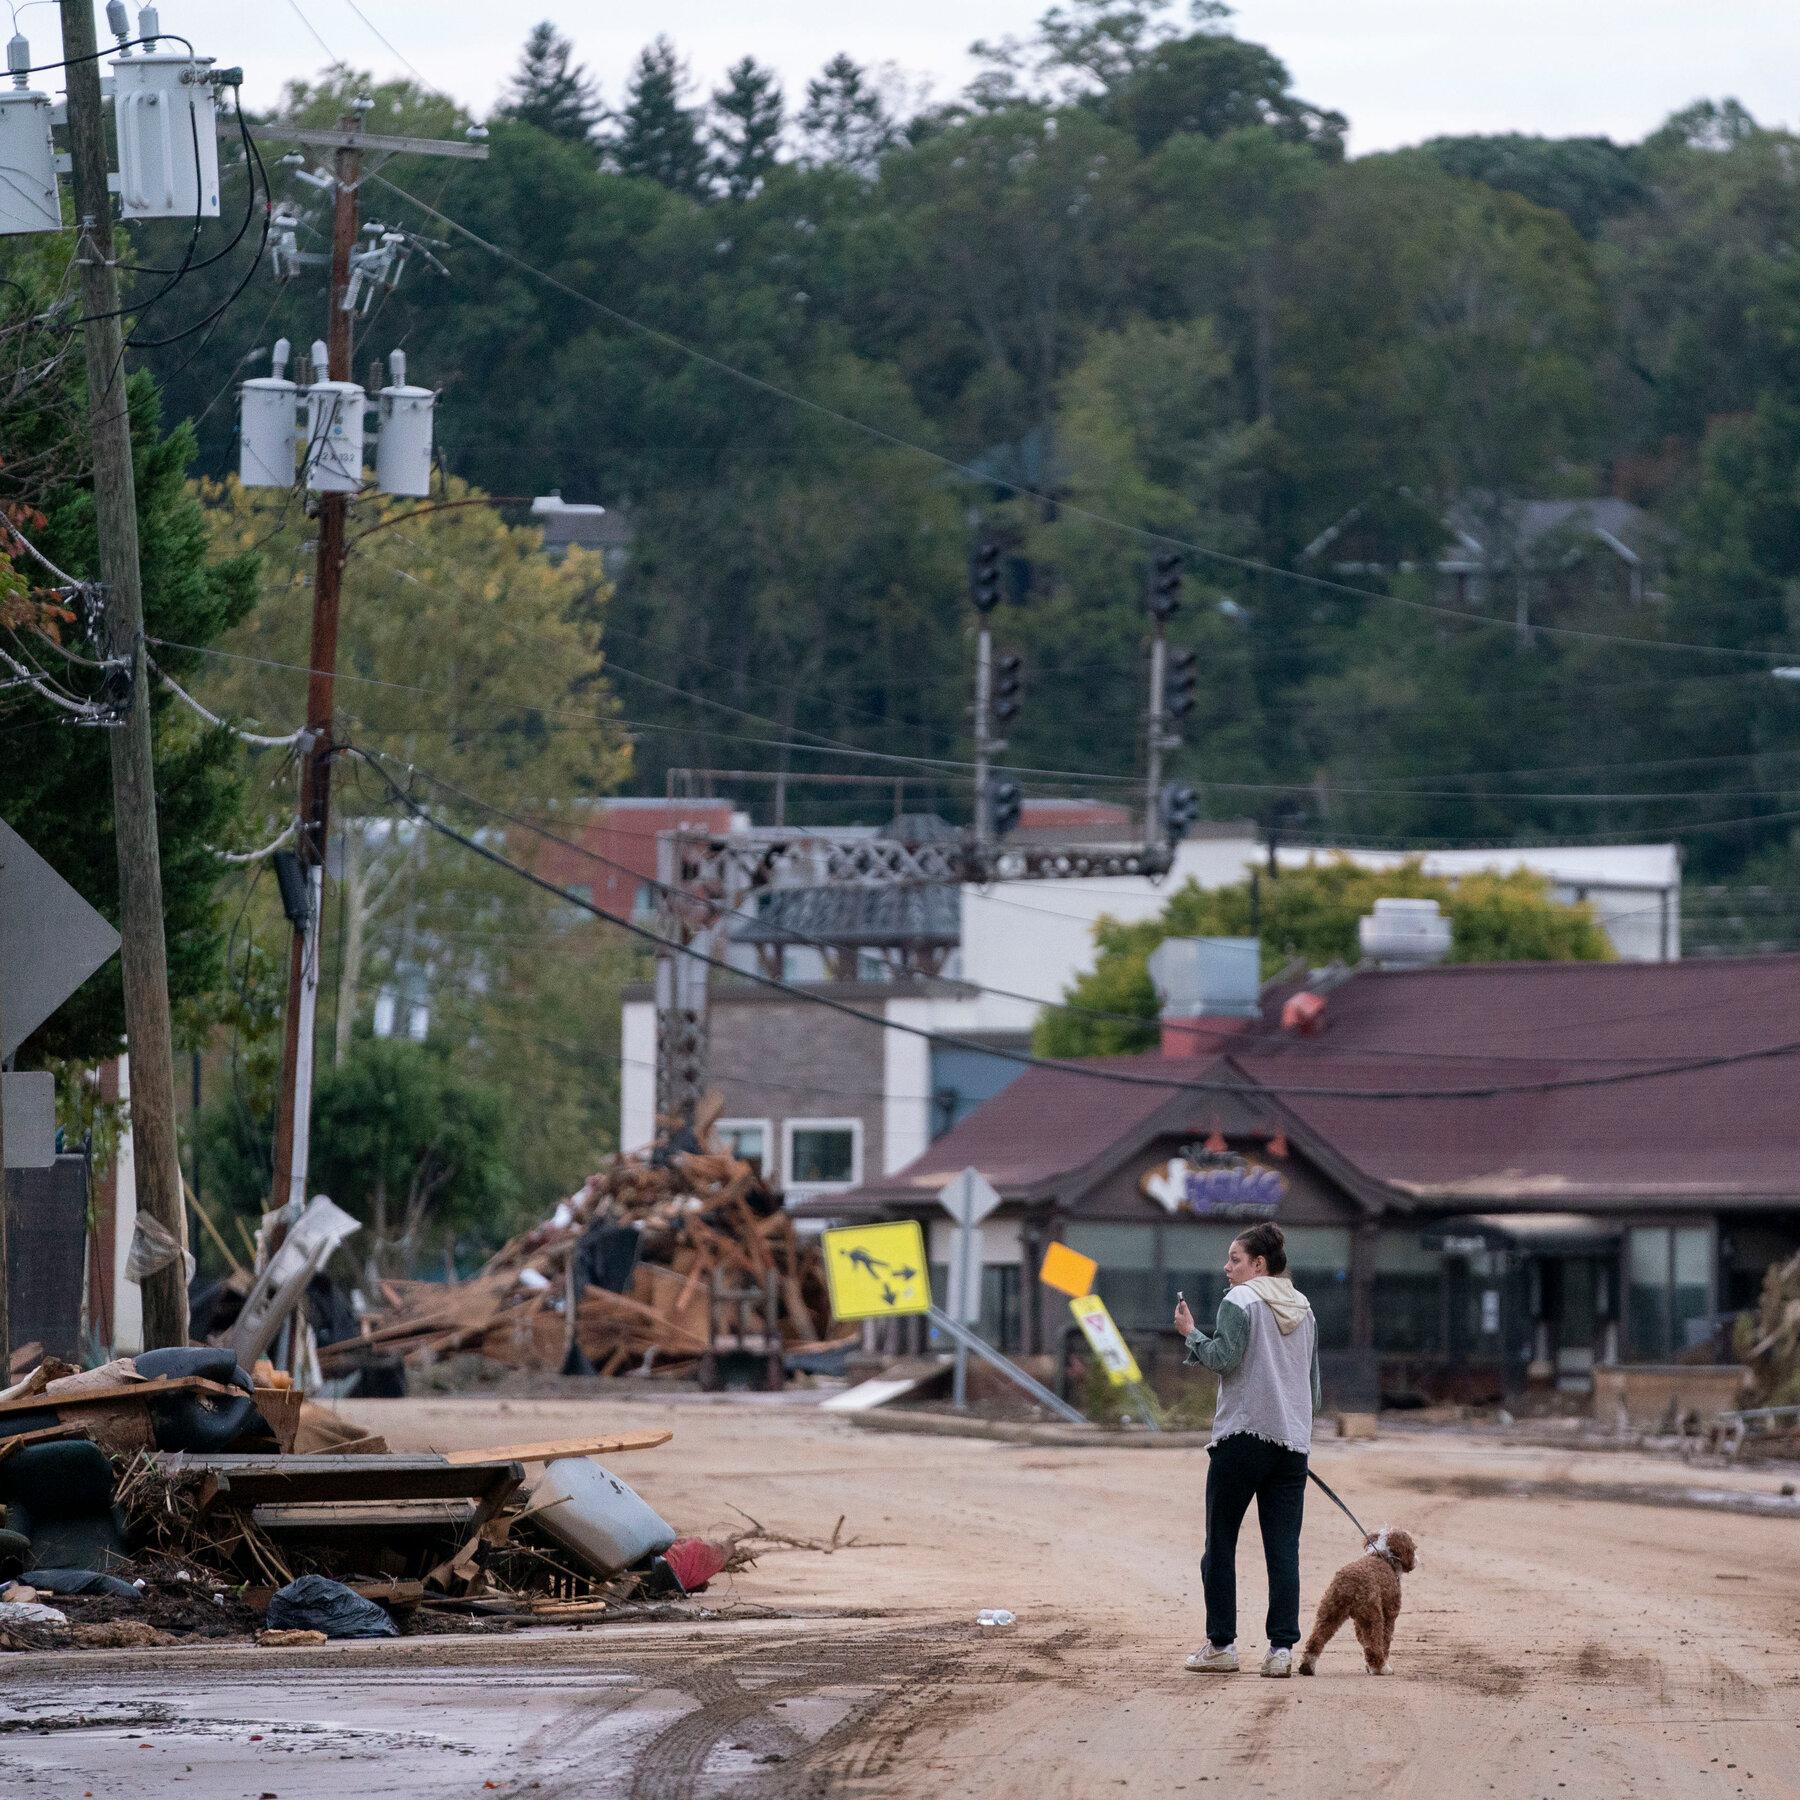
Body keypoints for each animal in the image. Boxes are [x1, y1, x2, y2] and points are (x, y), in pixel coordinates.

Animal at [1296, 1533, 1418, 1670]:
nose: (1415, 1560)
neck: (1382, 1556)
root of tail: (1350, 1581)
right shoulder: (1389, 1614)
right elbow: (1384, 1641)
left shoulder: (1358, 1621)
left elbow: (1362, 1641)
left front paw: (1368, 1666)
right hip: (1372, 1614)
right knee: (1373, 1644)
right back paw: (1381, 1668)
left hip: (1330, 1610)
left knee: (1316, 1639)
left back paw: (1307, 1666)